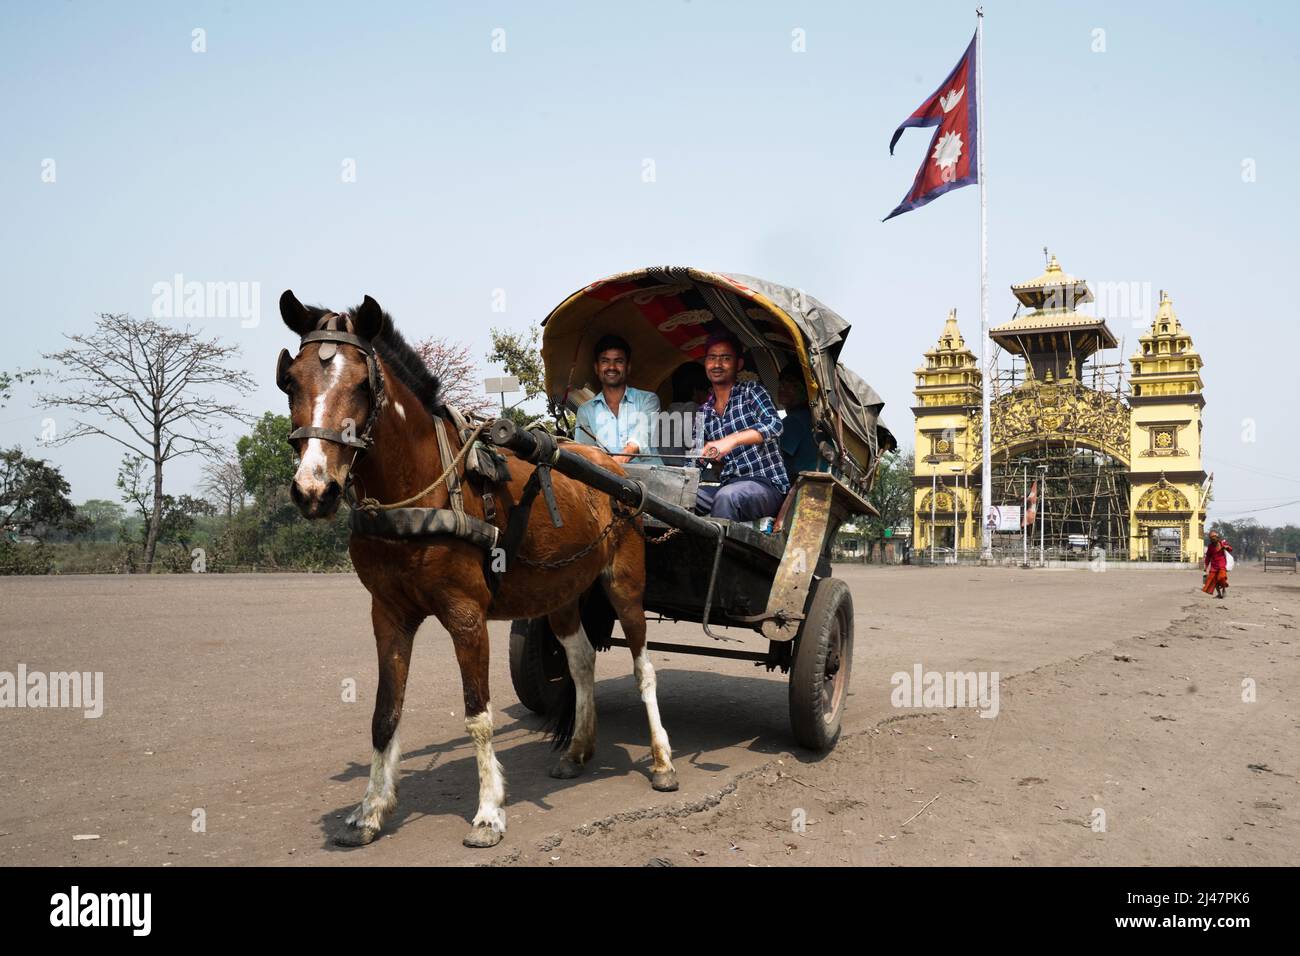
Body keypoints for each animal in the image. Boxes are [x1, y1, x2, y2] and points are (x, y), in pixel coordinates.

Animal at [275, 287, 681, 848]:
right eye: (291, 380)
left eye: (361, 385)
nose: (315, 489)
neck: (419, 492)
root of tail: (614, 470)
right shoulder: (388, 615)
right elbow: (383, 714)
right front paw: (371, 810)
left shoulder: (467, 615)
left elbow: (478, 715)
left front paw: (489, 813)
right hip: (560, 590)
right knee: (580, 661)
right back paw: (578, 749)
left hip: (624, 582)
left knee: (644, 667)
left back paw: (662, 760)